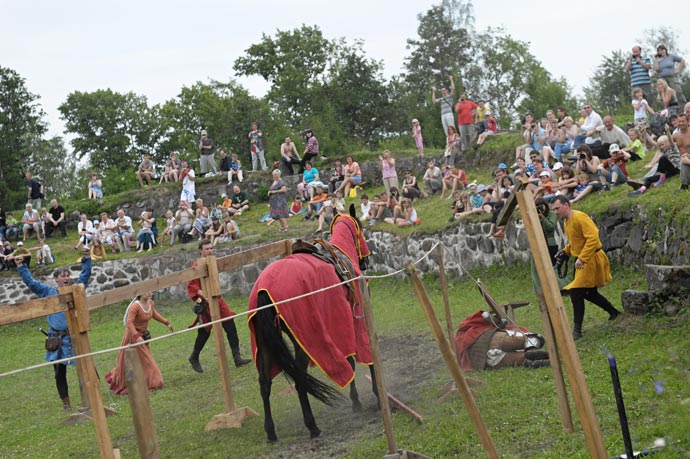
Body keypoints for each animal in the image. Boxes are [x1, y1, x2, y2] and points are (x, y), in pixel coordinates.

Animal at [246, 205, 378, 442]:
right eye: (361, 229)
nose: (366, 261)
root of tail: (263, 290)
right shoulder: (353, 322)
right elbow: (358, 358)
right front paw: (365, 399)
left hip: (264, 344)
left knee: (265, 383)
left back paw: (271, 431)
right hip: (303, 340)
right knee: (299, 378)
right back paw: (312, 426)